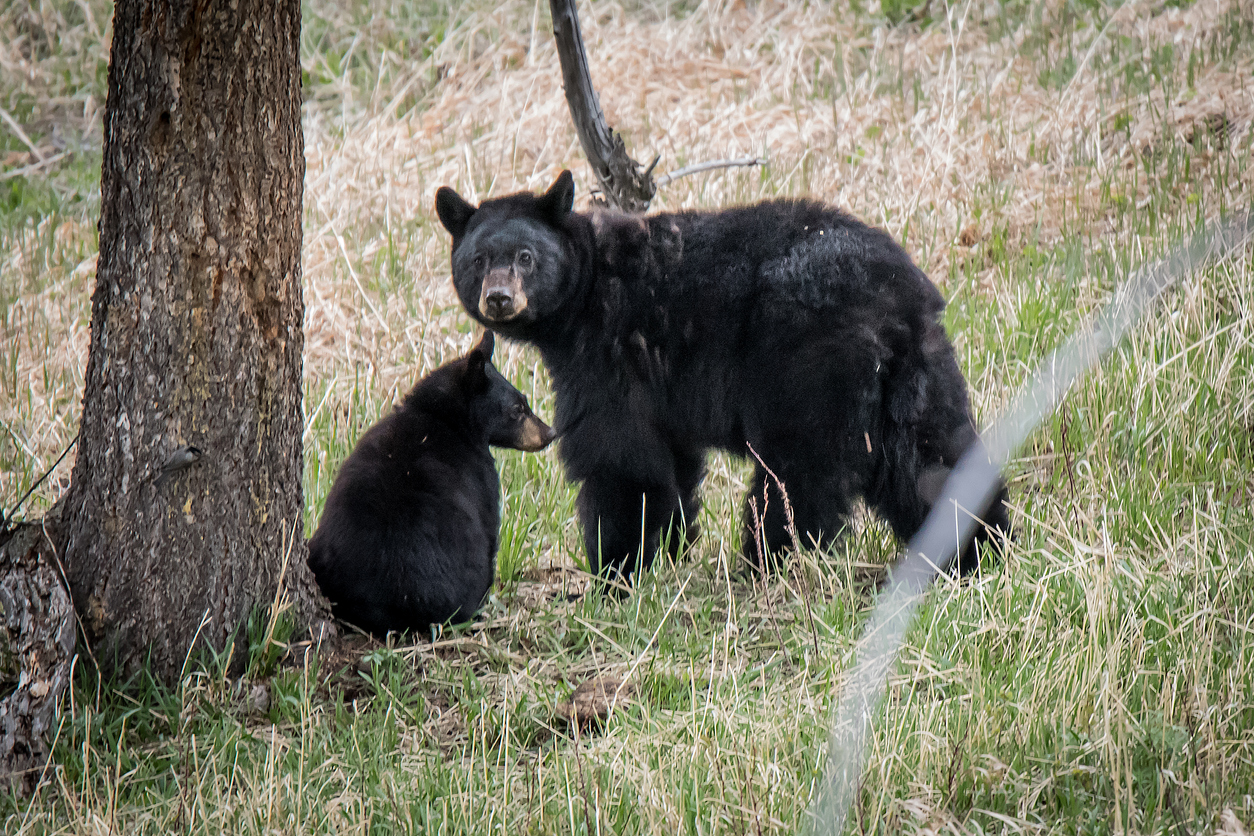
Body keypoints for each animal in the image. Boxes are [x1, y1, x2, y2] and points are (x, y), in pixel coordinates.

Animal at [307, 332, 556, 636]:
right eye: (517, 409)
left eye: (524, 400)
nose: (550, 433)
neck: (442, 417)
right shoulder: (482, 477)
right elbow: (491, 529)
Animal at [435, 171, 1010, 584]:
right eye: (478, 259)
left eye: (526, 257)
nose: (499, 299)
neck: (588, 285)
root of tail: (896, 298)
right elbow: (673, 463)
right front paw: (668, 549)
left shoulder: (610, 350)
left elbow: (619, 456)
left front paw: (617, 568)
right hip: (920, 369)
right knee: (932, 458)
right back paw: (977, 548)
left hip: (804, 362)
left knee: (796, 475)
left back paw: (767, 560)